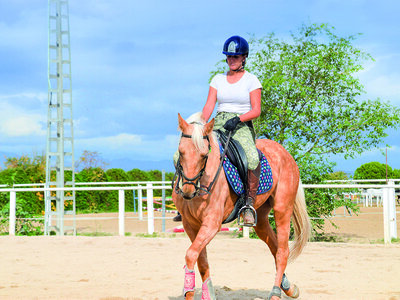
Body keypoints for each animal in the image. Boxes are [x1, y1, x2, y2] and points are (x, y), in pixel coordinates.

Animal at [171, 112, 310, 300]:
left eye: (204, 155)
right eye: (181, 152)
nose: (187, 191)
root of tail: (285, 153)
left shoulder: (212, 224)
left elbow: (191, 254)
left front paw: (189, 290)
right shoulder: (189, 224)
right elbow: (201, 259)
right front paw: (207, 293)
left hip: (282, 210)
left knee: (282, 252)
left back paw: (276, 292)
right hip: (261, 219)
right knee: (274, 248)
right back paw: (289, 287)